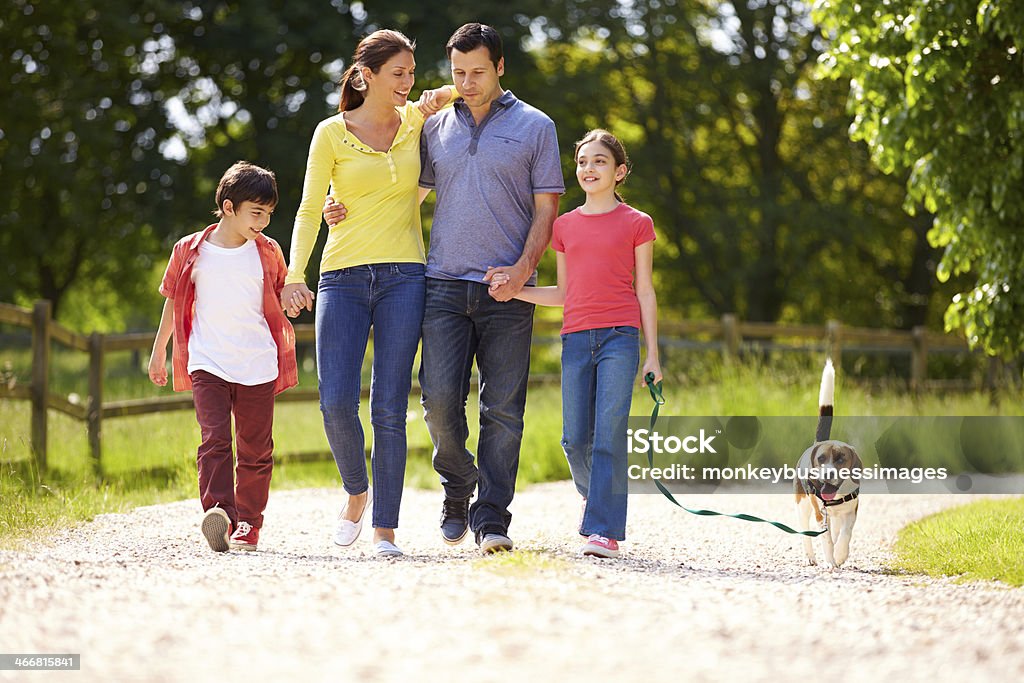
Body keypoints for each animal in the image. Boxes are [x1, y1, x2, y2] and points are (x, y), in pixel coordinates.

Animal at [794, 360, 860, 569]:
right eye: (821, 459)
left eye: (840, 459)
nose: (828, 474)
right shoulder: (820, 515)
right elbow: (827, 539)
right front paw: (831, 561)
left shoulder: (850, 512)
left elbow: (845, 534)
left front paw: (840, 555)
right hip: (802, 506)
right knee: (805, 532)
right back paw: (810, 557)